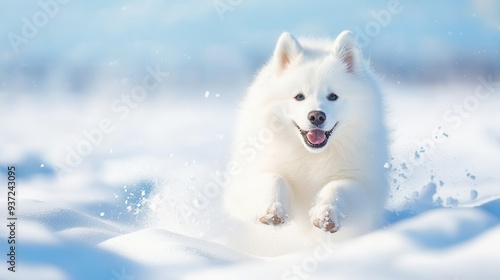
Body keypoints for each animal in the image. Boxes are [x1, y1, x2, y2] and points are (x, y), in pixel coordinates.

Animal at [224, 30, 390, 236]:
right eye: (299, 97)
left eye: (332, 96)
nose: (317, 116)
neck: (310, 157)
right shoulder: (243, 182)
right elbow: (273, 177)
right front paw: (272, 211)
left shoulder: (364, 188)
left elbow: (337, 187)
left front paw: (325, 214)